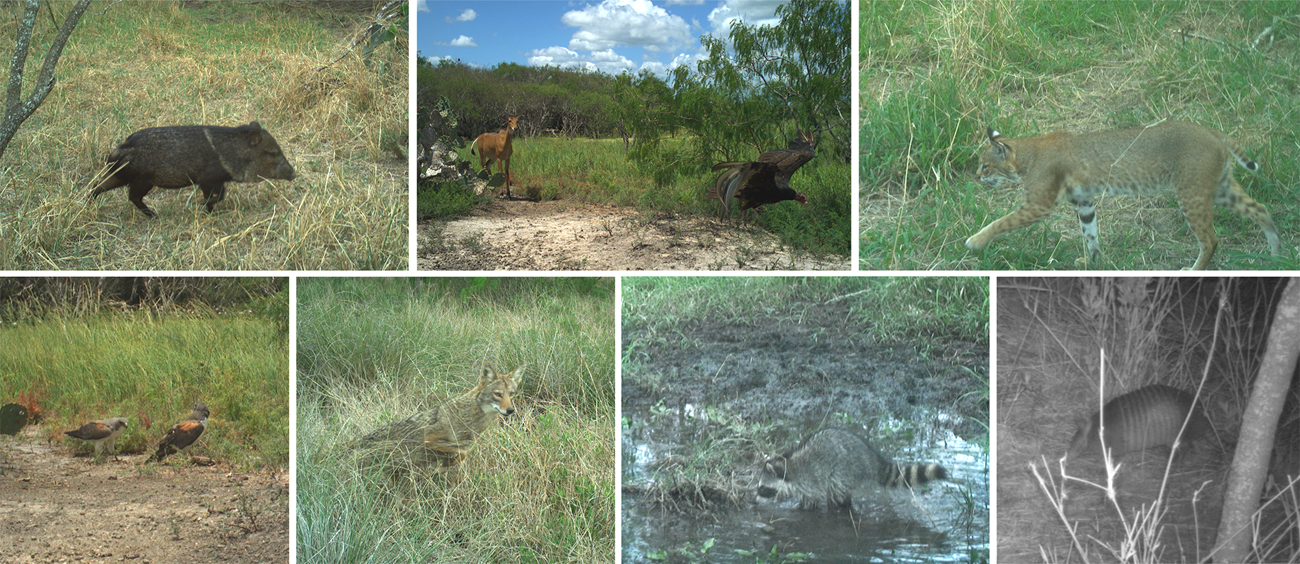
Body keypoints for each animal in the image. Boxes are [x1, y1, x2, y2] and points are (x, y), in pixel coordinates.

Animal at [756, 427, 948, 511]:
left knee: (836, 493)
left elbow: (810, 500)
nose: (753, 502)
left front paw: (800, 508)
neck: (787, 465)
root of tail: (871, 458)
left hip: (844, 470)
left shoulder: (809, 481)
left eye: (763, 488)